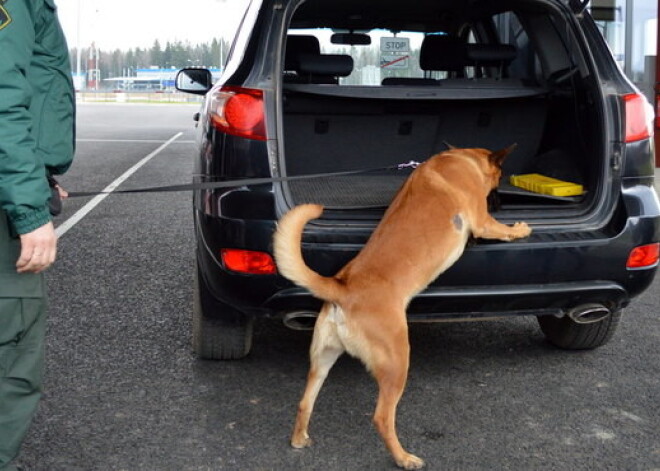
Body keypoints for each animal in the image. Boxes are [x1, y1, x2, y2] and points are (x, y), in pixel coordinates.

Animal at [272, 147, 532, 468]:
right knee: (382, 418)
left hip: (323, 359)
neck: (459, 159)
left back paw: (299, 439)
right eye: (497, 183)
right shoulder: (483, 221)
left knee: (304, 402)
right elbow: (500, 229)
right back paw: (403, 458)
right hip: (397, 363)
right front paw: (519, 228)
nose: (503, 203)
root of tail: (343, 288)